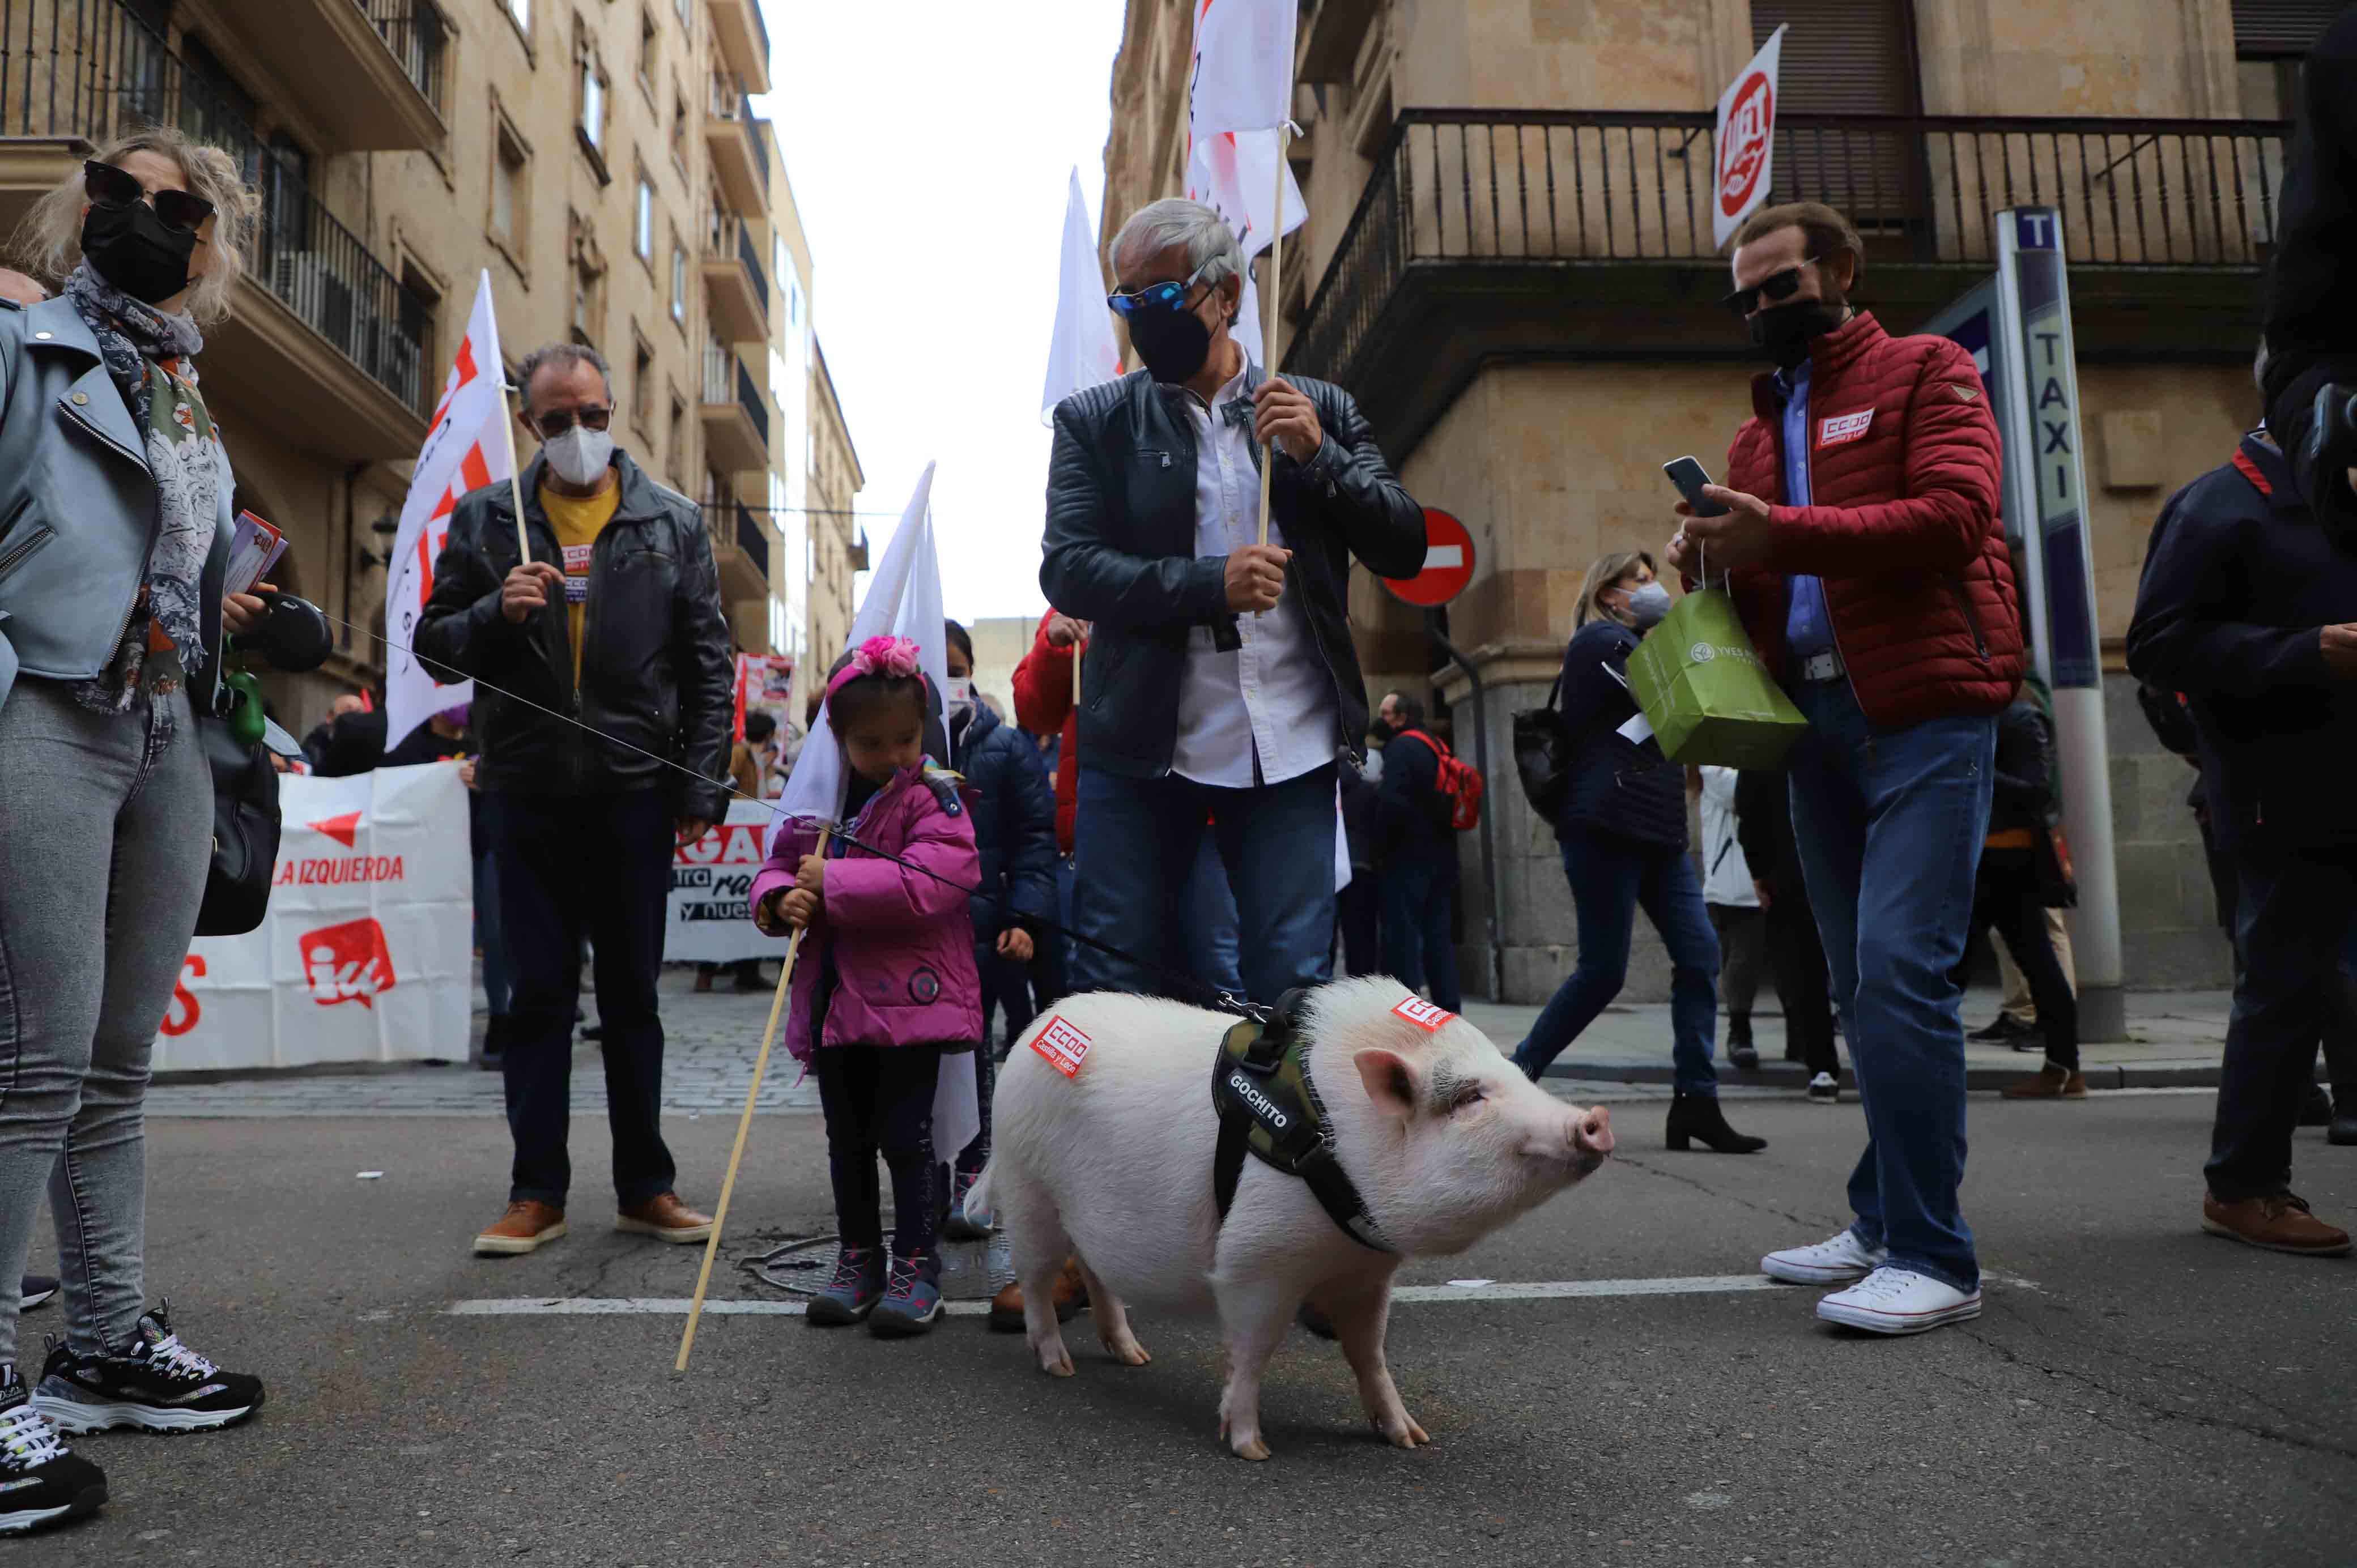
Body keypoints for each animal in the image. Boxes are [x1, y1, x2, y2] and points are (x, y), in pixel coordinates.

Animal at [966, 981, 1612, 1452]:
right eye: (1469, 1097)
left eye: (1520, 1075)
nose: (1596, 1119)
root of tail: (1034, 1030)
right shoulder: (1258, 1259)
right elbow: (1254, 1348)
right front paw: (1251, 1448)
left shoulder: (1368, 1272)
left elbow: (1369, 1352)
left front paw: (1410, 1439)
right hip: (1029, 1190)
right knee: (1036, 1280)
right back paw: (1059, 1367)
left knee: (1096, 1272)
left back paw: (1134, 1356)